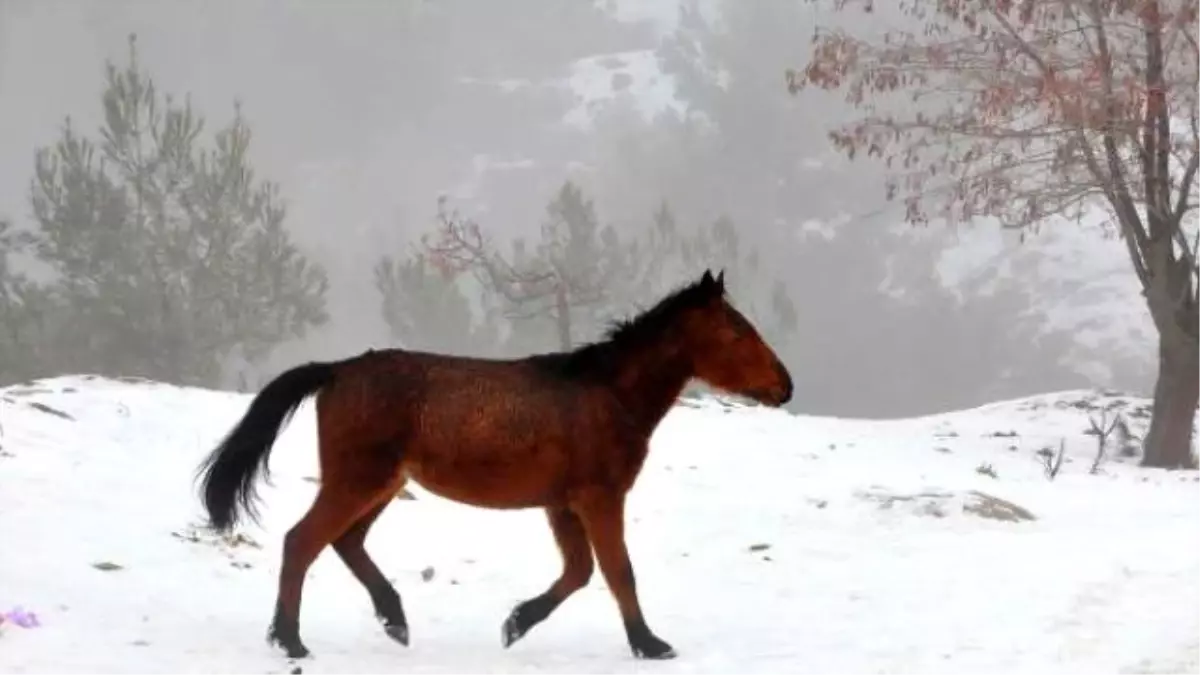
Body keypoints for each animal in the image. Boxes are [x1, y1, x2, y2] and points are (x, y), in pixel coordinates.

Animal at [198, 267, 796, 658]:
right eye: (737, 330)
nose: (785, 386)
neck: (608, 395)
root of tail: (337, 370)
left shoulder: (562, 505)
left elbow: (578, 573)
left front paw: (514, 624)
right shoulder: (599, 497)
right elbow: (618, 571)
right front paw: (650, 645)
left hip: (380, 483)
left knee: (345, 542)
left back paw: (395, 620)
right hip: (357, 480)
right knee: (303, 541)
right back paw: (291, 641)